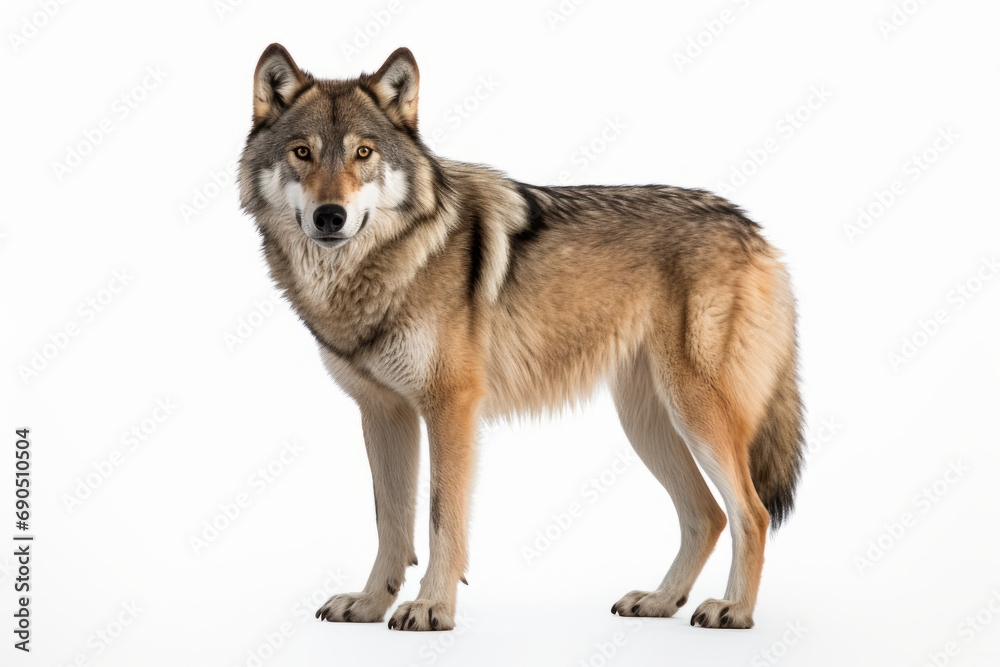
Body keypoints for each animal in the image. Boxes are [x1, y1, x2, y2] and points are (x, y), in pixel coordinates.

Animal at [238, 44, 805, 632]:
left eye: (363, 153)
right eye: (302, 153)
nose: (330, 216)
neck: (379, 271)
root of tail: (754, 231)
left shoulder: (451, 407)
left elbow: (441, 518)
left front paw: (432, 607)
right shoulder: (383, 413)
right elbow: (390, 522)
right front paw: (372, 604)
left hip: (696, 413)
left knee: (752, 512)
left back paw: (733, 609)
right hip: (648, 422)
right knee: (707, 515)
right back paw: (660, 600)